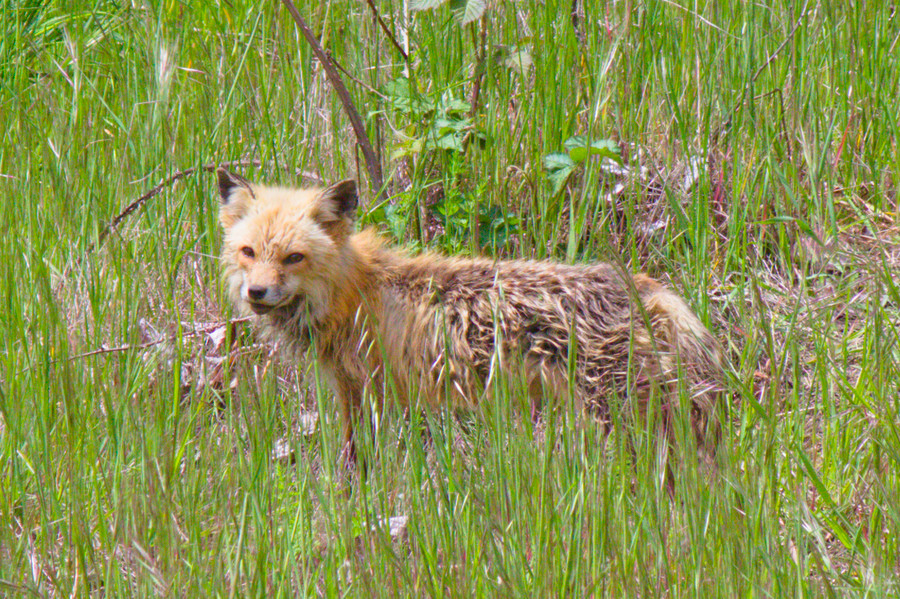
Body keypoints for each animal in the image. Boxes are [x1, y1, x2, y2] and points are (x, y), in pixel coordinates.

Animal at [215, 168, 724, 468]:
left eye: (294, 257)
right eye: (249, 252)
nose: (256, 292)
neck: (355, 292)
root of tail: (643, 284)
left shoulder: (374, 389)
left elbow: (359, 457)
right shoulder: (355, 388)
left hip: (622, 416)